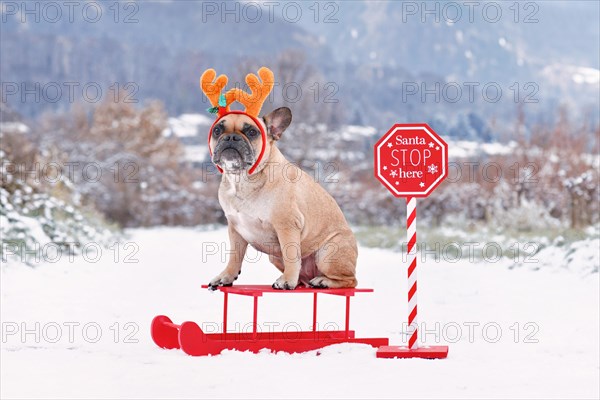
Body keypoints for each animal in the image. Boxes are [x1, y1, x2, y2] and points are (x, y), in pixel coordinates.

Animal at [204, 68, 358, 290]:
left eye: (252, 132)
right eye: (217, 130)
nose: (231, 137)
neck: (242, 179)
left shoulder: (287, 225)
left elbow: (292, 255)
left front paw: (286, 281)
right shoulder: (235, 229)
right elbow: (234, 256)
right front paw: (226, 276)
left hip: (329, 252)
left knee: (350, 280)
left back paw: (321, 281)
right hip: (275, 257)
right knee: (304, 278)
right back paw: (300, 281)